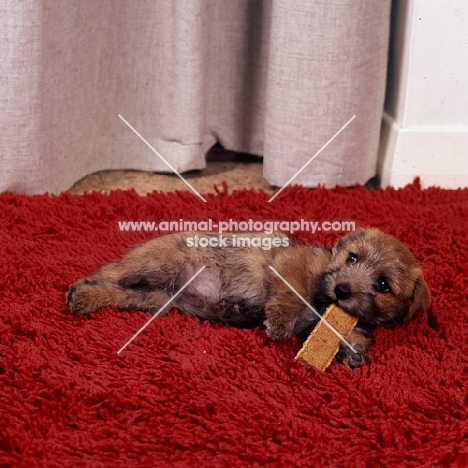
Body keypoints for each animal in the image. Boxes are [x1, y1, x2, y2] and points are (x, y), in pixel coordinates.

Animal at [66, 229, 432, 368]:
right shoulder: (289, 266)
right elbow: (292, 296)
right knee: (110, 272)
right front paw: (280, 322)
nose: (342, 290)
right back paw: (80, 289)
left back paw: (88, 297)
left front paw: (354, 346)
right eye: (352, 258)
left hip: (156, 298)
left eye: (383, 284)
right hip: (157, 264)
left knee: (119, 291)